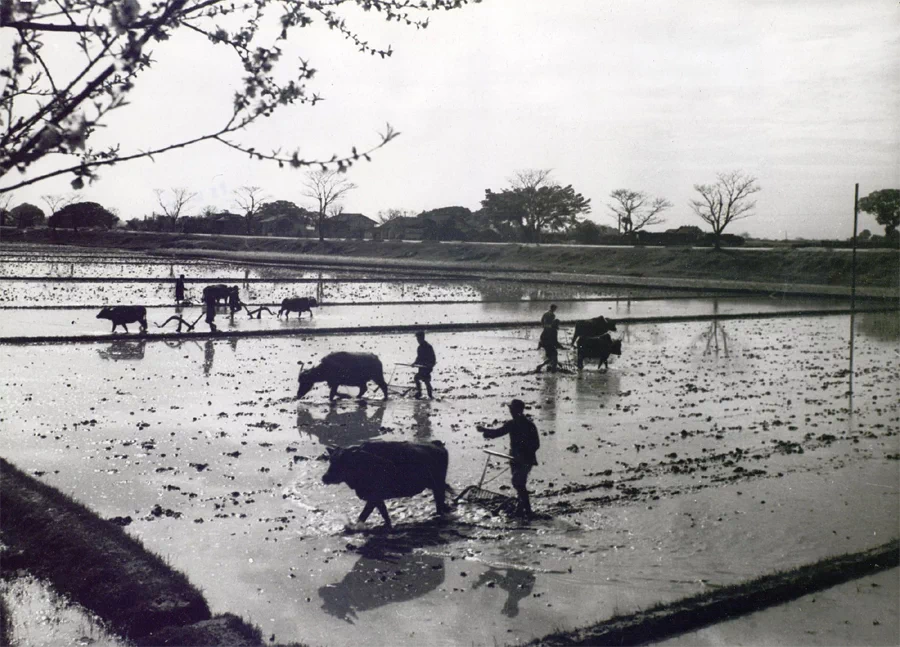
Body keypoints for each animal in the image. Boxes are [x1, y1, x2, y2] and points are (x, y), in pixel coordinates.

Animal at [322, 438, 450, 528]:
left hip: (438, 485)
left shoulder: (374, 497)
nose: (324, 477)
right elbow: (383, 514)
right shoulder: (377, 499)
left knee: (440, 501)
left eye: (342, 461)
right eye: (331, 460)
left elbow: (364, 515)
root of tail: (438, 444)